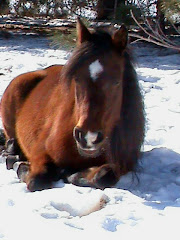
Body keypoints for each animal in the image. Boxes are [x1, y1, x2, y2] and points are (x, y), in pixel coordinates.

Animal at [0, 18, 145, 191]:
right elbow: (37, 180)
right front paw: (22, 167)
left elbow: (104, 176)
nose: (88, 137)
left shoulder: (122, 165)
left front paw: (73, 174)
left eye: (116, 82)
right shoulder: (40, 152)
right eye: (76, 79)